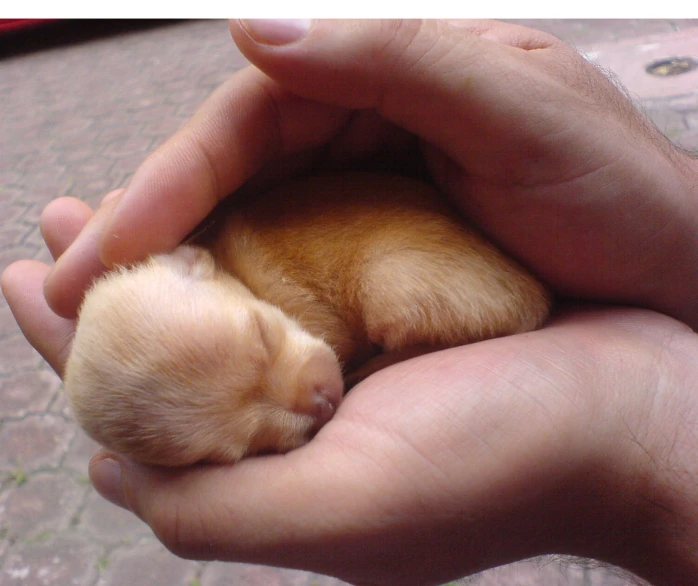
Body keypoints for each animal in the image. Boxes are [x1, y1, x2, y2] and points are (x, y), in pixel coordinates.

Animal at [62, 171, 548, 464]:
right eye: (240, 449)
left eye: (262, 336)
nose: (325, 403)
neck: (241, 276)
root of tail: (539, 294)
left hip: (388, 279)